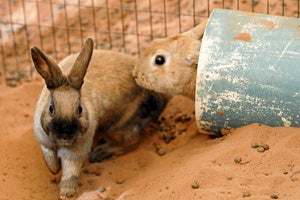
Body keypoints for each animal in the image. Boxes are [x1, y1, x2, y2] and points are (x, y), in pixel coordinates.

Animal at [32, 38, 171, 199]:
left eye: (79, 109)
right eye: (51, 108)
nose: (65, 136)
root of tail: (162, 97)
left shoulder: (77, 150)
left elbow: (71, 170)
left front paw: (66, 193)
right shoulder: (44, 141)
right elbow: (49, 157)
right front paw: (54, 169)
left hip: (118, 127)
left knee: (134, 141)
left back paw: (101, 153)